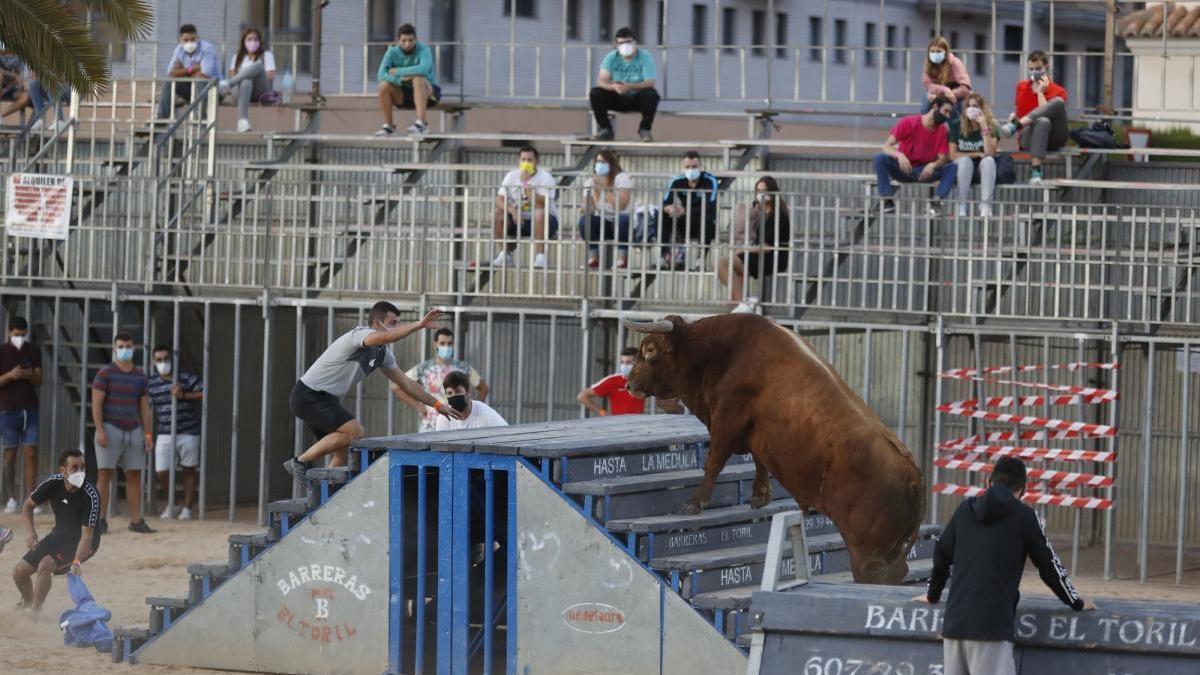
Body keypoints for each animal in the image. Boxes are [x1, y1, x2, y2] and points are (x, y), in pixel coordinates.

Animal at [628, 312, 926, 581]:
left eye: (650, 350)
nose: (630, 383)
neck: (723, 351)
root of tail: (914, 476)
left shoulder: (726, 419)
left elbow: (714, 462)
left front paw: (694, 503)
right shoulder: (756, 431)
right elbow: (760, 460)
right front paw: (761, 495)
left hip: (868, 556)